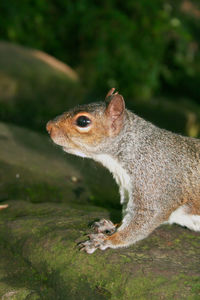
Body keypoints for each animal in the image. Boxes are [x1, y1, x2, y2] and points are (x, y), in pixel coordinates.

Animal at [46, 88, 200, 253]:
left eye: (83, 121)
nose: (48, 126)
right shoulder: (127, 191)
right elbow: (126, 214)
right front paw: (111, 225)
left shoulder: (155, 184)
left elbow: (142, 223)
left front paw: (105, 240)